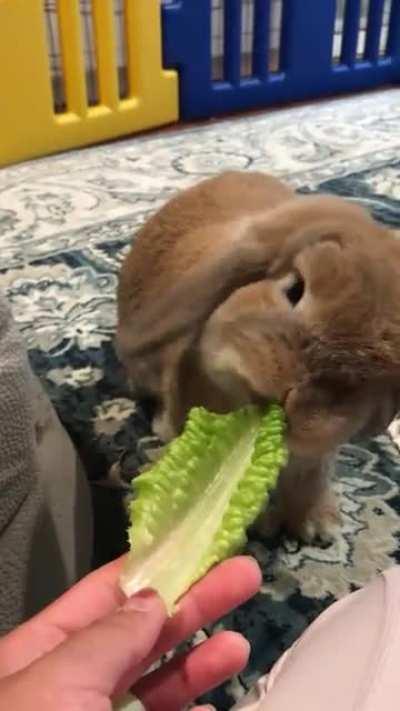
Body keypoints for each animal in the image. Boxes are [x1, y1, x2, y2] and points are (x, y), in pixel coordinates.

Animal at [117, 170, 400, 542]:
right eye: (295, 288)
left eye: (372, 373)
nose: (292, 395)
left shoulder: (315, 452)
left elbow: (309, 474)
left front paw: (317, 526)